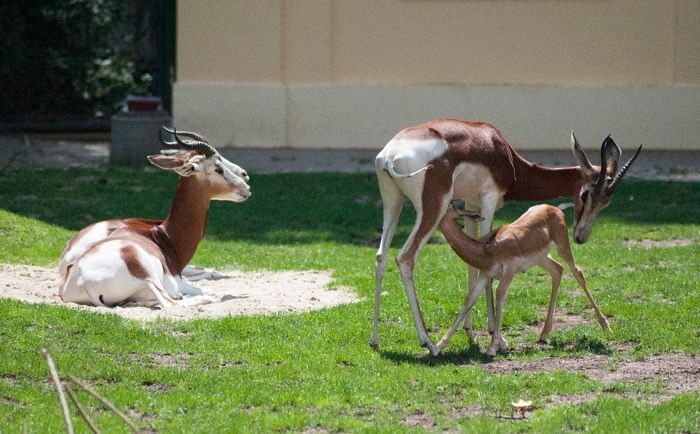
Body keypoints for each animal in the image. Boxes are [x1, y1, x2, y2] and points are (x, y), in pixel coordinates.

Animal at [59, 128, 252, 308]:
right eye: (218, 168)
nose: (246, 187)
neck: (164, 236)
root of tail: (83, 281)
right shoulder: (177, 281)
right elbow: (205, 287)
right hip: (150, 277)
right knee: (170, 303)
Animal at [434, 203, 608, 356]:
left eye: (449, 205)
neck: (486, 250)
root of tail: (554, 208)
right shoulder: (485, 274)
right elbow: (469, 300)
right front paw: (438, 346)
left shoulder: (509, 271)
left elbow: (500, 296)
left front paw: (493, 347)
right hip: (541, 258)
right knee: (558, 271)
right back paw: (543, 335)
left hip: (562, 246)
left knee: (577, 272)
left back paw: (606, 326)